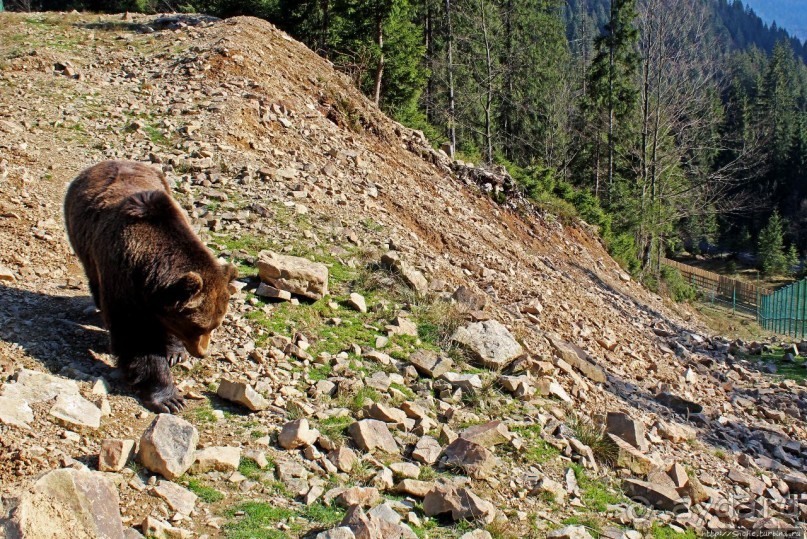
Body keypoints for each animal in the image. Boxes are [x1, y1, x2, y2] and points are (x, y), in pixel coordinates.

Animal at [64, 160, 235, 414]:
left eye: (215, 325)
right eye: (198, 327)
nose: (202, 352)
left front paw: (175, 353)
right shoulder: (123, 279)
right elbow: (138, 336)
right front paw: (169, 398)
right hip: (83, 244)